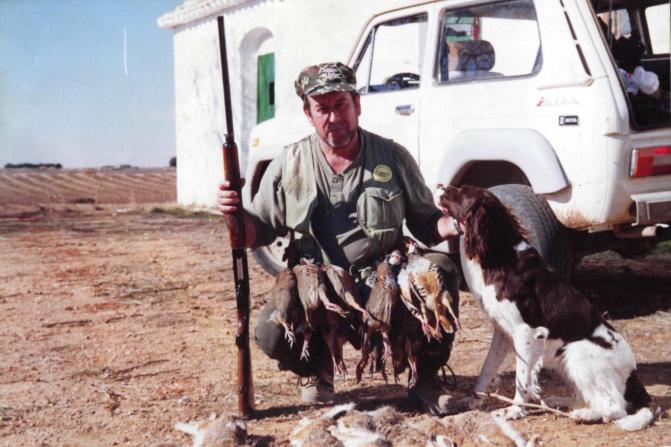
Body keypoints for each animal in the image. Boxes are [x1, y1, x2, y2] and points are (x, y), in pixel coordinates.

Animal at [434, 184, 653, 431]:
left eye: (461, 191)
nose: (439, 185)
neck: (502, 253)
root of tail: (633, 376)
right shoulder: (502, 332)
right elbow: (487, 369)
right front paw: (474, 400)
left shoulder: (527, 332)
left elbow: (522, 379)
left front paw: (515, 410)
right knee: (588, 398)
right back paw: (560, 402)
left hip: (577, 352)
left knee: (616, 406)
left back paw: (586, 415)